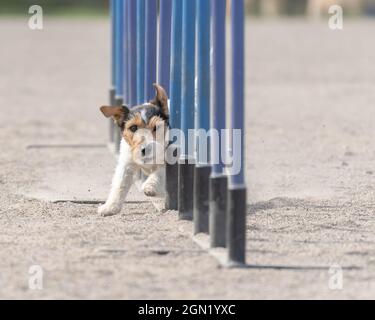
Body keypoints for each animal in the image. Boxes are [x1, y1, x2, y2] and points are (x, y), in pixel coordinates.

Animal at [98, 84, 169, 216]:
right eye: (133, 128)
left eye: (156, 127)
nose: (146, 149)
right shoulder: (127, 164)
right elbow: (120, 185)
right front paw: (110, 207)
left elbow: (159, 173)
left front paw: (150, 187)